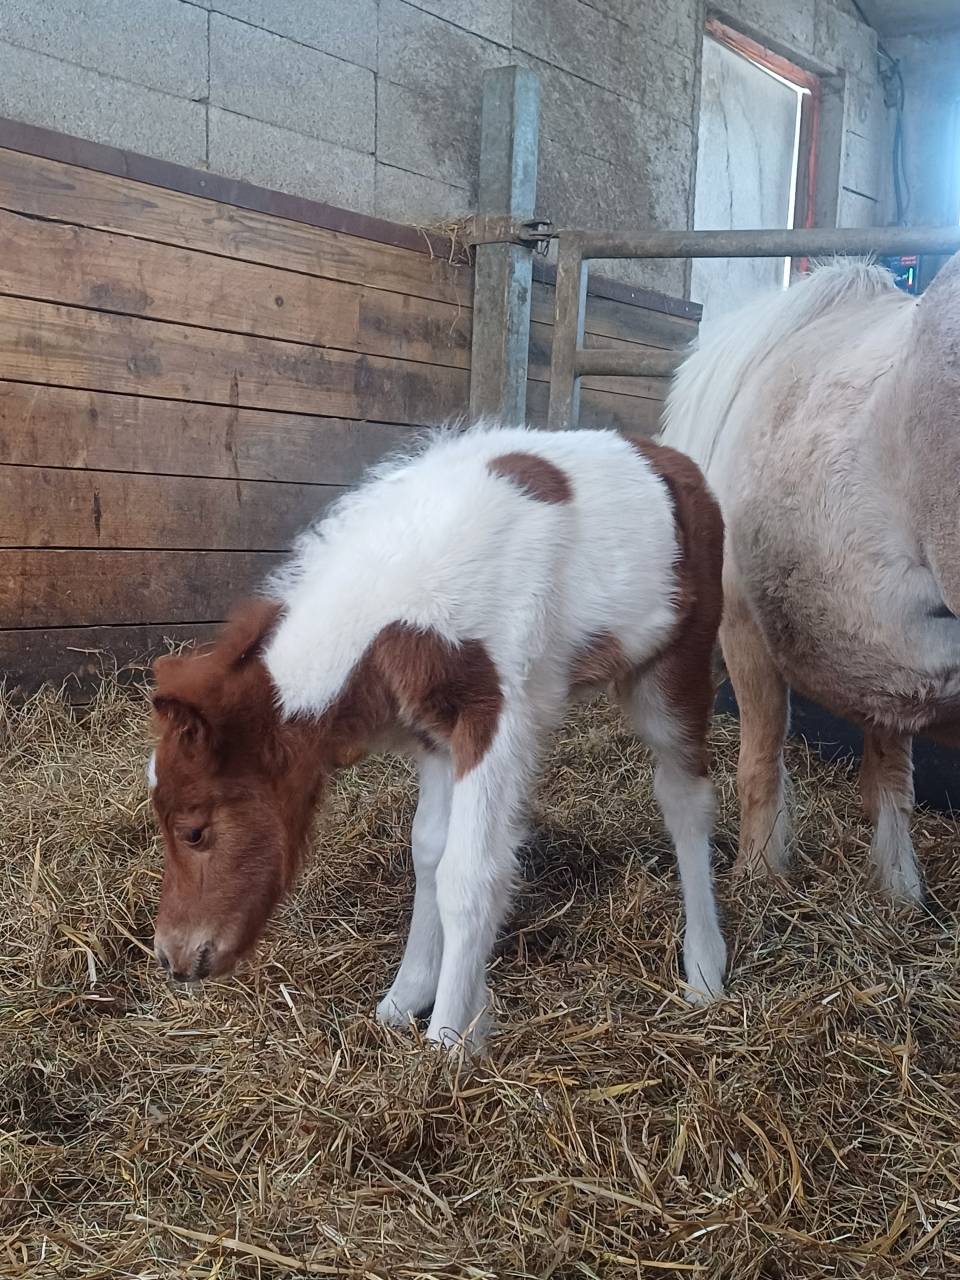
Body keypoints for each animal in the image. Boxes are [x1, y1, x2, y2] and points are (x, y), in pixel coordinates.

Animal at [147, 423, 728, 1050]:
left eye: (195, 831)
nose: (173, 957)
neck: (405, 594)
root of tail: (670, 458)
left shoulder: (493, 717)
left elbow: (468, 873)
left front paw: (449, 1040)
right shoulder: (433, 734)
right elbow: (429, 849)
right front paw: (407, 996)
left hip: (674, 670)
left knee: (685, 797)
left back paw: (705, 970)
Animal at [662, 255, 960, 904]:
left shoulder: (745, 630)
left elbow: (759, 763)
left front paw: (757, 874)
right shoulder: (896, 663)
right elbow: (892, 779)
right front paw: (898, 890)